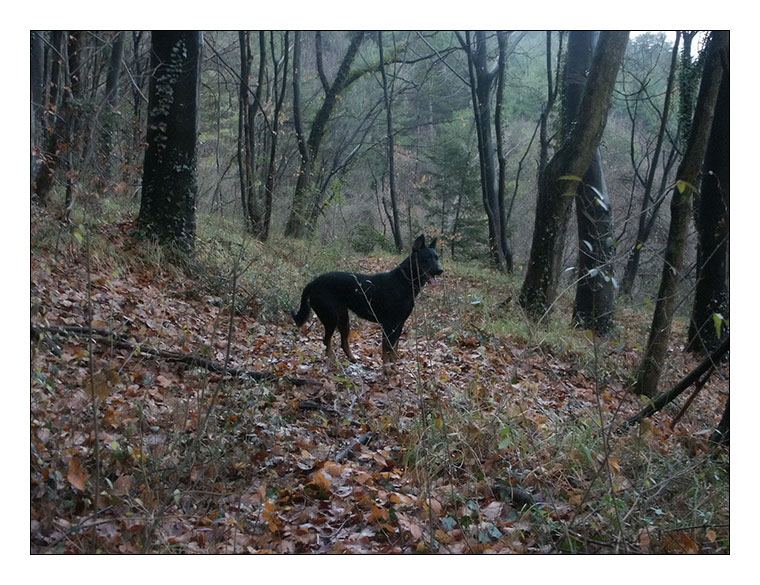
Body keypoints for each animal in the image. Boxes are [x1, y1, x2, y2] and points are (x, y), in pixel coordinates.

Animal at [290, 233, 446, 360]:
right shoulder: (388, 325)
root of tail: (313, 283)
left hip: (343, 318)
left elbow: (394, 350)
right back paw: (333, 362)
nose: (440, 270)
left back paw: (352, 359)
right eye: (426, 259)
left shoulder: (399, 324)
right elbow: (387, 351)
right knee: (326, 341)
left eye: (437, 258)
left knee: (342, 341)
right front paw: (387, 373)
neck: (403, 282)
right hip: (331, 317)